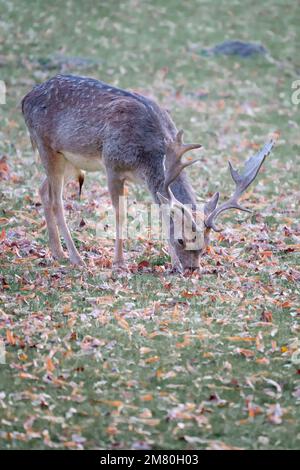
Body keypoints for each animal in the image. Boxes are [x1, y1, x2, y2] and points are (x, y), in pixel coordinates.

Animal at [21, 74, 274, 272]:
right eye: (181, 240)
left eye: (206, 243)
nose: (192, 269)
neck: (146, 159)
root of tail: (25, 99)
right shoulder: (112, 165)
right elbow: (121, 214)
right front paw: (119, 263)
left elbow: (162, 213)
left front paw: (172, 263)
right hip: (46, 145)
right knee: (56, 200)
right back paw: (75, 258)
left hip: (66, 160)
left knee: (43, 190)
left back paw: (57, 252)